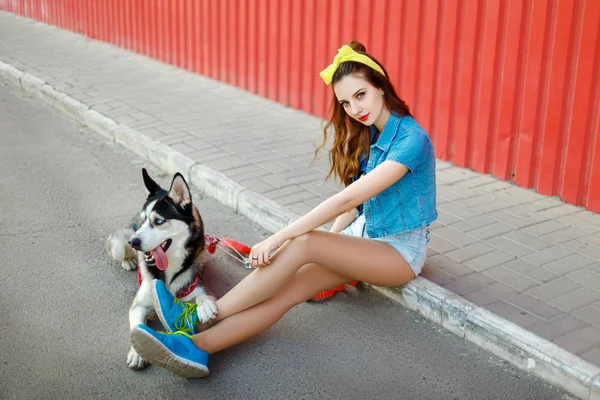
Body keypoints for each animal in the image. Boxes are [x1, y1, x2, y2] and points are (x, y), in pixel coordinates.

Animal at [106, 168, 217, 368]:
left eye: (158, 221)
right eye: (144, 221)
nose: (134, 242)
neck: (169, 267)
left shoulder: (196, 282)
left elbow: (203, 294)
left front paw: (205, 305)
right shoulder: (139, 305)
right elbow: (137, 325)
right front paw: (137, 352)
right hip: (119, 246)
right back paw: (128, 260)